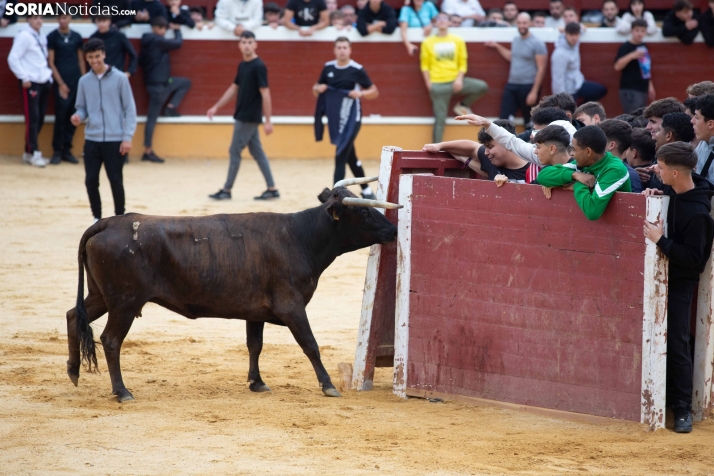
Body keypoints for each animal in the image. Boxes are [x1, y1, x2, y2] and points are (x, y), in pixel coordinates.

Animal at [65, 181, 400, 402]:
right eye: (365, 214)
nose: (394, 230)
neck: (300, 237)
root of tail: (108, 223)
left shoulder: (255, 312)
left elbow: (255, 345)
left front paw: (257, 382)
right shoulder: (292, 307)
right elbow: (310, 345)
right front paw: (328, 385)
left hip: (100, 296)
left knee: (72, 317)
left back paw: (73, 371)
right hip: (124, 301)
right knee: (110, 340)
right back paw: (121, 391)